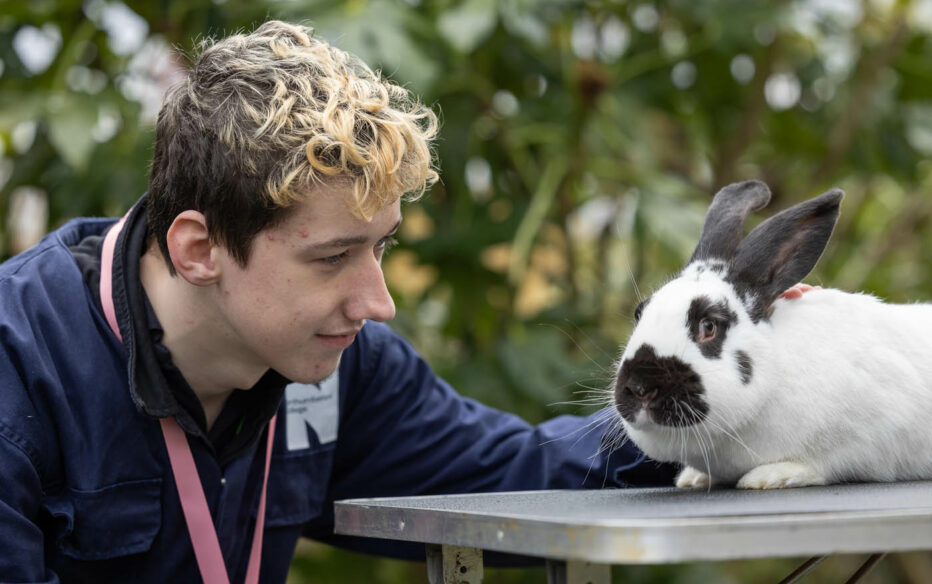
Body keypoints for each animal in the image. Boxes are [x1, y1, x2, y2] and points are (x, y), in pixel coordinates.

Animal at [608, 179, 932, 488]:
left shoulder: (871, 437)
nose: (639, 387)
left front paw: (771, 476)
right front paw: (693, 477)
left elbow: (827, 464)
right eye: (639, 314)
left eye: (708, 326)